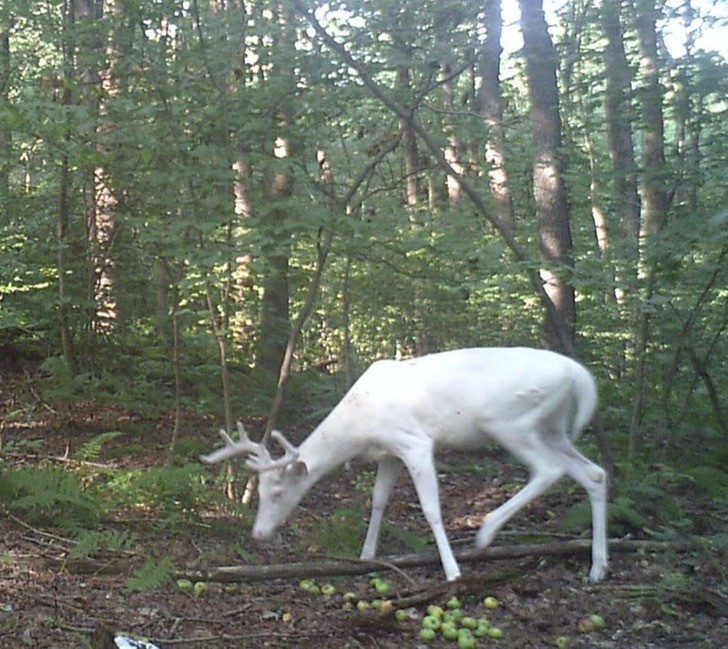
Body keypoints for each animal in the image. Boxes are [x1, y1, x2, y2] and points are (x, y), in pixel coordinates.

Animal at [200, 346, 608, 584]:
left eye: (278, 492)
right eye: (259, 491)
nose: (257, 534)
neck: (361, 426)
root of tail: (579, 375)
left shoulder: (415, 443)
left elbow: (430, 508)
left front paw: (452, 571)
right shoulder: (390, 453)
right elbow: (379, 499)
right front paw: (366, 556)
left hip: (510, 421)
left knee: (549, 470)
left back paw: (486, 531)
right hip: (552, 427)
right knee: (594, 473)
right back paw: (598, 568)